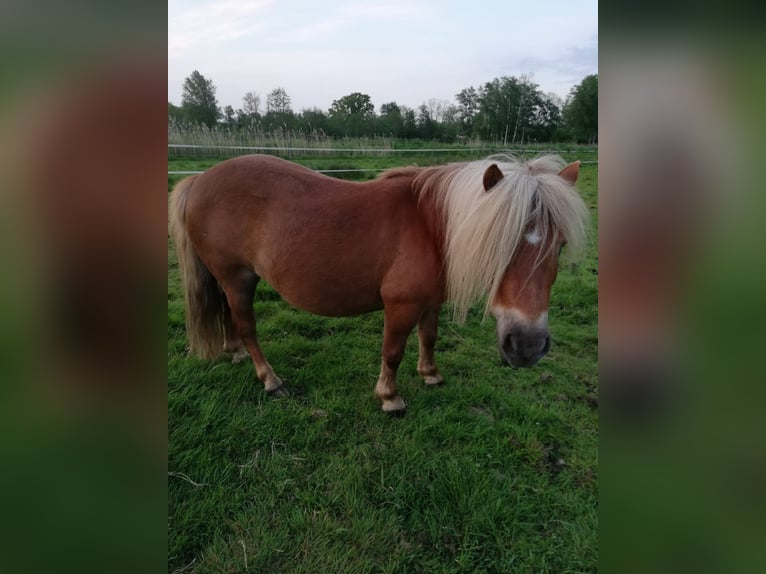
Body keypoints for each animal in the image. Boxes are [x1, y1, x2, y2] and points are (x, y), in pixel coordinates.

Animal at [171, 153, 588, 414]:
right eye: (496, 241)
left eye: (560, 244)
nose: (527, 346)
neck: (431, 226)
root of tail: (202, 178)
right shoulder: (400, 306)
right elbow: (393, 352)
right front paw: (390, 398)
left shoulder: (430, 302)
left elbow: (429, 337)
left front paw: (430, 375)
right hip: (237, 278)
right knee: (246, 325)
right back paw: (270, 379)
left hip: (229, 279)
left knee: (228, 315)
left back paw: (235, 353)